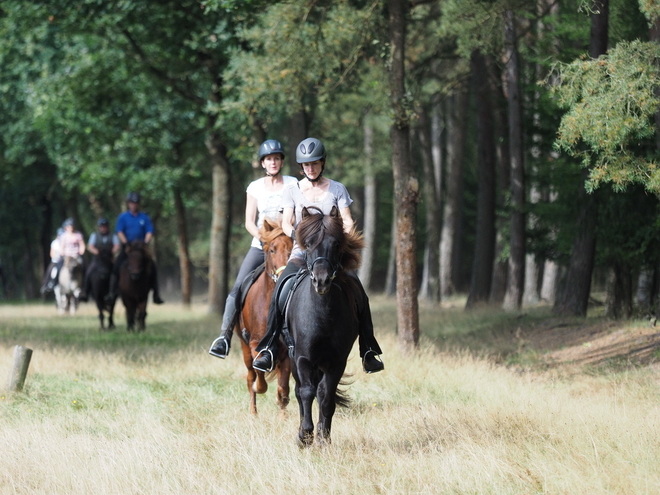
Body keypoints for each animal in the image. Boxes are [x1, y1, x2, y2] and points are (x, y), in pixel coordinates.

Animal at [238, 219, 292, 416]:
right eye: (272, 250)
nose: (284, 275)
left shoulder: (286, 353)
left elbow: (283, 389)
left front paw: (283, 417)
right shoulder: (256, 346)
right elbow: (259, 380)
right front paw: (258, 387)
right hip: (244, 348)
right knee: (250, 377)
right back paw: (253, 413)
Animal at [286, 206, 364, 450]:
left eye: (336, 243)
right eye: (309, 243)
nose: (321, 281)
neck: (323, 314)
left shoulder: (336, 361)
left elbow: (326, 395)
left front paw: (323, 438)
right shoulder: (302, 358)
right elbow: (306, 392)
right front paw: (305, 435)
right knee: (299, 391)